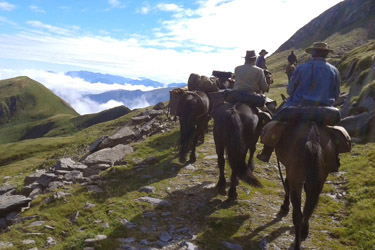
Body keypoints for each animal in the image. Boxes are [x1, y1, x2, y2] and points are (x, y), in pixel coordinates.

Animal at [276, 121, 340, 250]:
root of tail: (312, 136)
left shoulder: (289, 170)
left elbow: (286, 183)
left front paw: (285, 206)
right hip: (319, 179)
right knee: (308, 209)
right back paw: (305, 230)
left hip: (296, 179)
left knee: (297, 215)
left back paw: (297, 244)